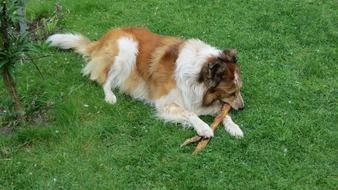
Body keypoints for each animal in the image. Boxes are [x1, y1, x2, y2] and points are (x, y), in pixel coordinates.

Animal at [46, 26, 244, 137]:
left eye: (238, 89)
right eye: (231, 92)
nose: (243, 107)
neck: (197, 73)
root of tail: (103, 38)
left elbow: (221, 112)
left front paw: (234, 127)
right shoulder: (164, 103)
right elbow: (190, 113)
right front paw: (204, 128)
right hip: (126, 49)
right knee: (104, 79)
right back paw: (110, 96)